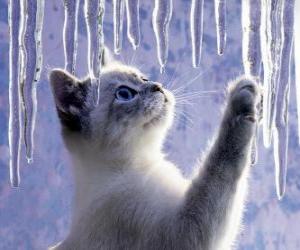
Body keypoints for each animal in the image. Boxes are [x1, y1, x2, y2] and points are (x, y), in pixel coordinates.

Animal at [48, 49, 260, 249]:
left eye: (144, 79)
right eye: (124, 94)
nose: (157, 86)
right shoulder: (184, 231)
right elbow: (223, 161)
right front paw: (243, 95)